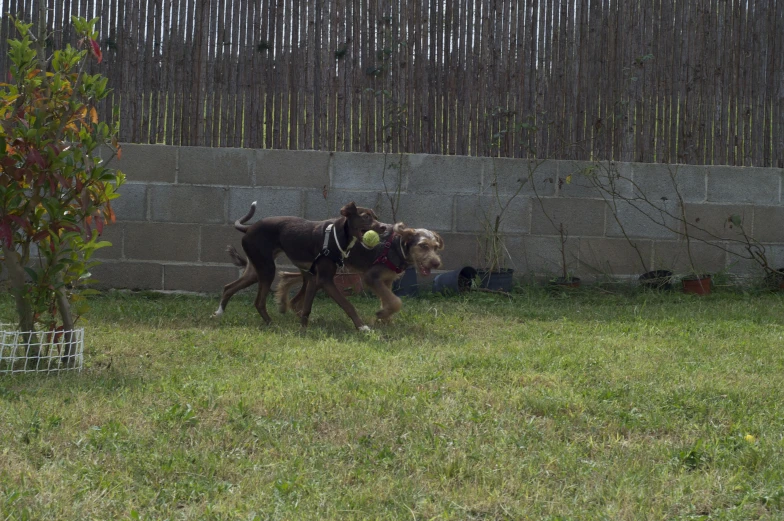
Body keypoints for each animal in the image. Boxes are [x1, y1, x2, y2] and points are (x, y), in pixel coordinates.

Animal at [214, 199, 386, 330]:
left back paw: (218, 313)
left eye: (376, 217)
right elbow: (347, 304)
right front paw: (362, 327)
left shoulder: (313, 279)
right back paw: (271, 324)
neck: (337, 234)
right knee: (259, 302)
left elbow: (306, 307)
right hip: (267, 269)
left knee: (229, 287)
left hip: (255, 271)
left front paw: (303, 328)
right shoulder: (325, 280)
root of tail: (249, 227)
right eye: (365, 217)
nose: (383, 226)